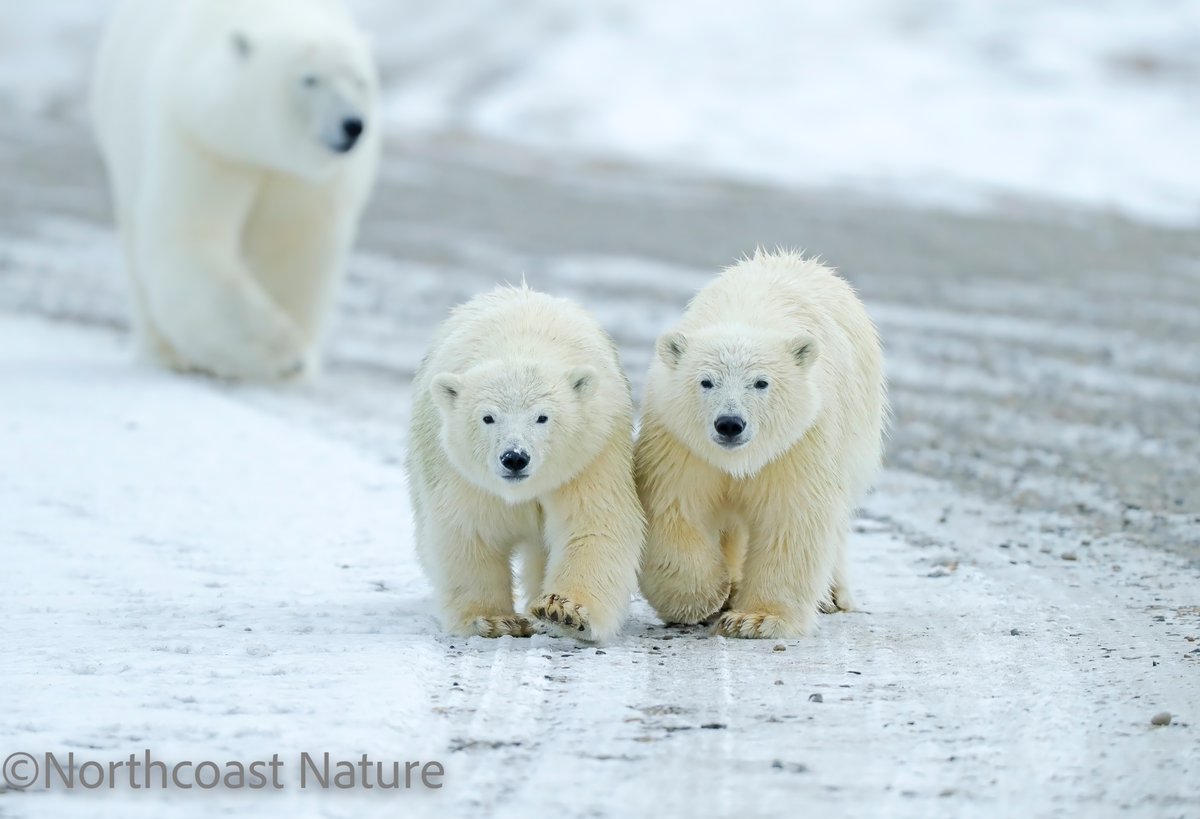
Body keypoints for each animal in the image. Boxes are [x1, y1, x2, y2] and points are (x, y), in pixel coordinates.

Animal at [91, 0, 381, 380]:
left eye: (360, 80)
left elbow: (293, 249)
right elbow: (192, 239)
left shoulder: (305, 181)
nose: (353, 125)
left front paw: (297, 362)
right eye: (309, 79)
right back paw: (167, 354)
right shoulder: (203, 141)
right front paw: (283, 352)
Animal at [407, 284, 646, 641]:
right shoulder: (464, 475)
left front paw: (564, 611)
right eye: (488, 417)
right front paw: (494, 619)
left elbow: (592, 523)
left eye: (542, 417)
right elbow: (469, 531)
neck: (520, 347)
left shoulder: (590, 455)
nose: (515, 457)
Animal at [635, 250, 887, 639]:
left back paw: (833, 595)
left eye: (761, 382)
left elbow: (792, 517)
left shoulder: (800, 442)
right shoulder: (680, 444)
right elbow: (674, 508)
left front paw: (755, 619)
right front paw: (705, 598)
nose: (730, 424)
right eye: (706, 381)